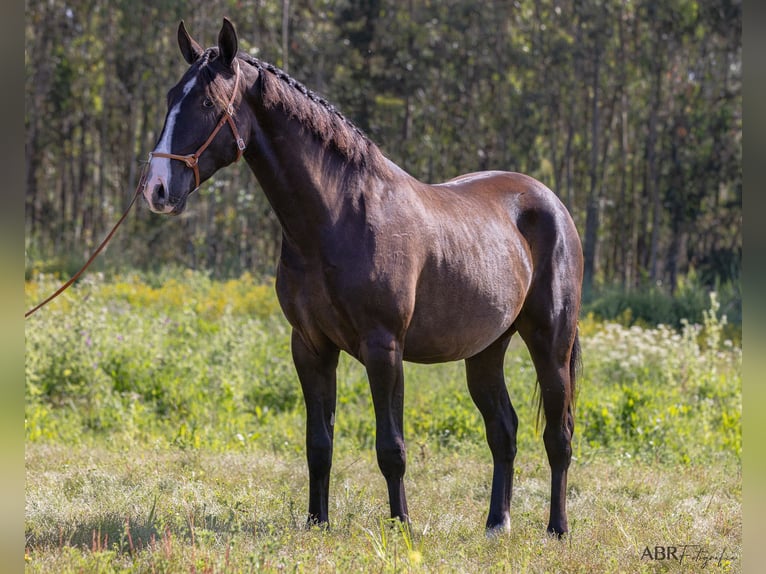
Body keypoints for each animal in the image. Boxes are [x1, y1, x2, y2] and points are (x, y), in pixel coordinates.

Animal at [142, 18, 584, 540]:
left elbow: (391, 447)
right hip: (485, 350)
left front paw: (402, 527)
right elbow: (319, 444)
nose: (157, 189)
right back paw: (497, 523)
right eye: (172, 96)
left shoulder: (383, 347)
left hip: (550, 342)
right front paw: (317, 521)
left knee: (558, 435)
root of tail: (549, 201)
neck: (337, 217)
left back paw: (558, 528)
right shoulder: (309, 346)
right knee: (504, 431)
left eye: (208, 103)